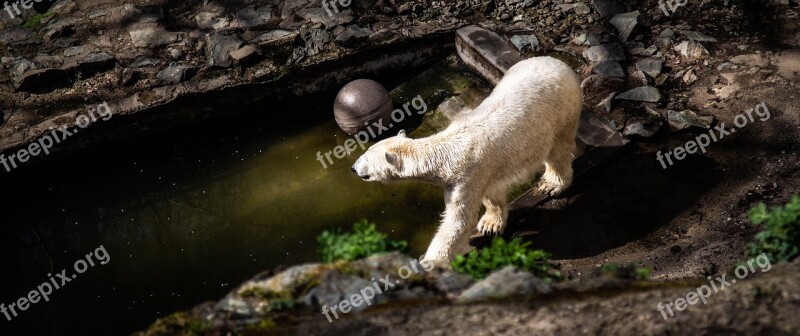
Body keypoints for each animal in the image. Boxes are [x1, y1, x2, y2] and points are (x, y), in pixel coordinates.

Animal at [350, 56, 580, 264]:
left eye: (366, 158)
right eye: (365, 153)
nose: (353, 168)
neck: (446, 152)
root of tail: (558, 62)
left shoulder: (467, 176)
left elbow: (459, 221)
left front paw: (429, 262)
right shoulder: (484, 172)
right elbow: (491, 194)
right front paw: (491, 224)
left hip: (562, 110)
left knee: (558, 149)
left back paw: (551, 184)